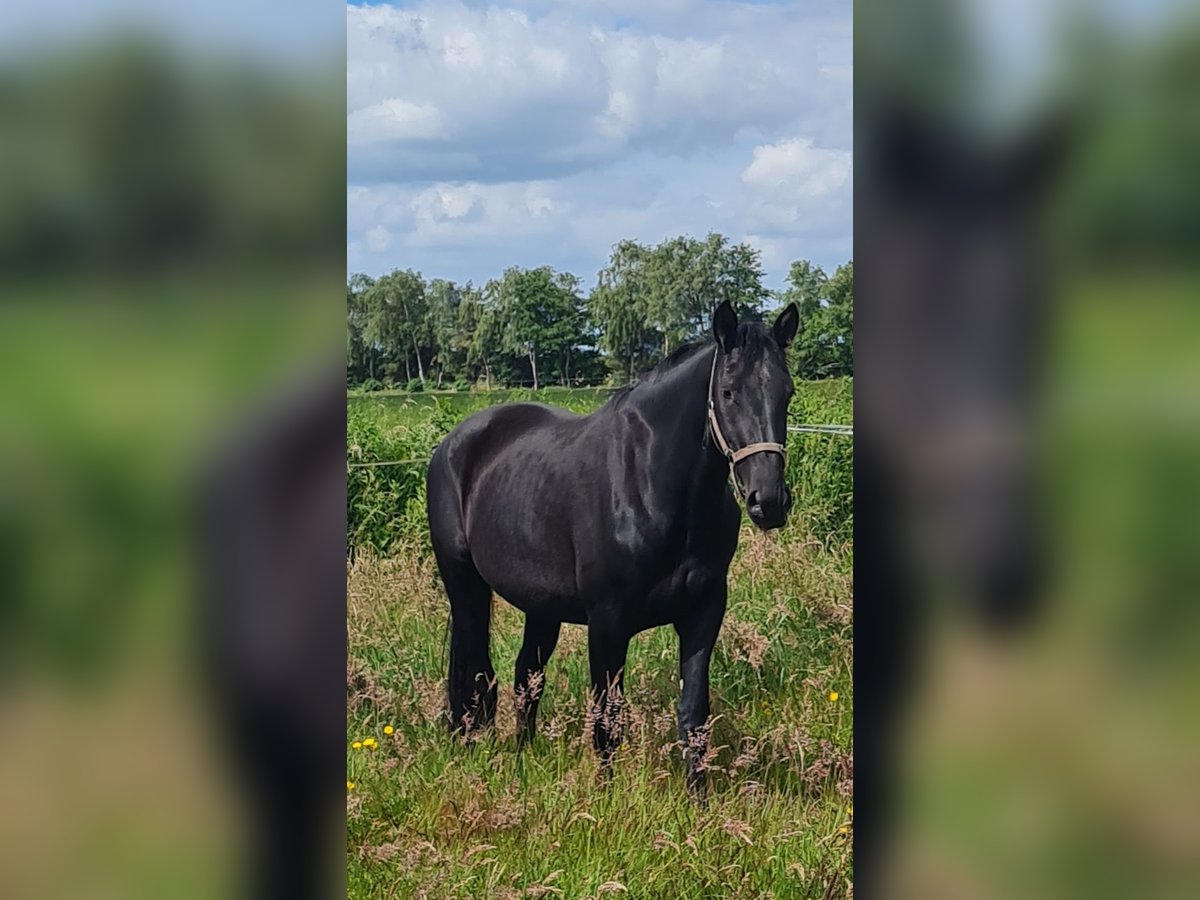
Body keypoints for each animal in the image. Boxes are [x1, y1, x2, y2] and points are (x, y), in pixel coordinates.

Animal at [429, 301, 796, 796]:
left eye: (787, 393)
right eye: (729, 392)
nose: (769, 501)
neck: (651, 484)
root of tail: (453, 444)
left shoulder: (704, 612)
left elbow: (693, 714)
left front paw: (699, 799)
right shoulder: (608, 622)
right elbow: (607, 718)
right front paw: (604, 797)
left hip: (541, 605)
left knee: (527, 676)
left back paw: (523, 755)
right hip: (465, 586)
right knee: (475, 673)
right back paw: (471, 748)